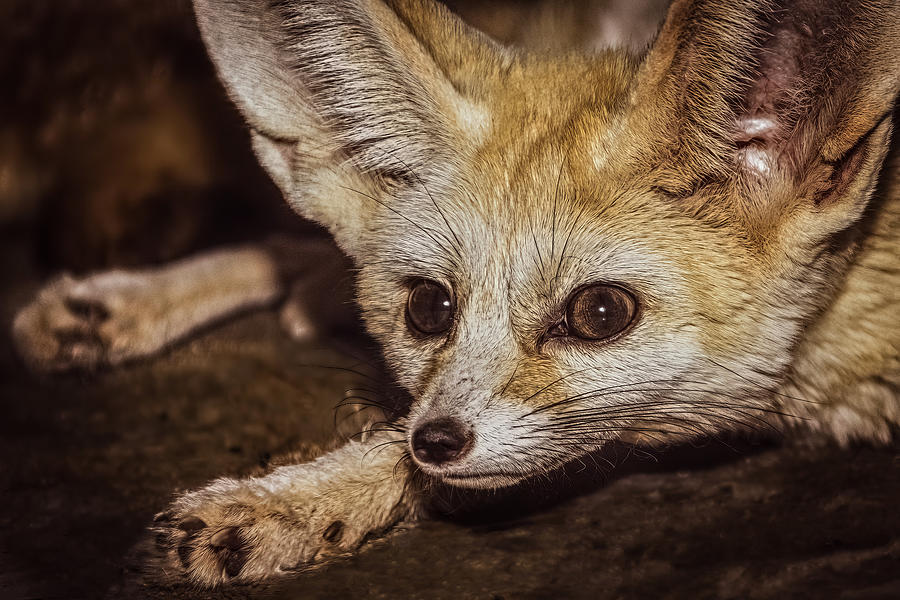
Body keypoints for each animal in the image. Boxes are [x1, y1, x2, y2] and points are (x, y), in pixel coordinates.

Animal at [8, 0, 900, 584]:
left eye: (599, 313)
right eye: (428, 308)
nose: (437, 442)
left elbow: (426, 448)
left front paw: (288, 504)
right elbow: (397, 430)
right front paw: (294, 499)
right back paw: (116, 306)